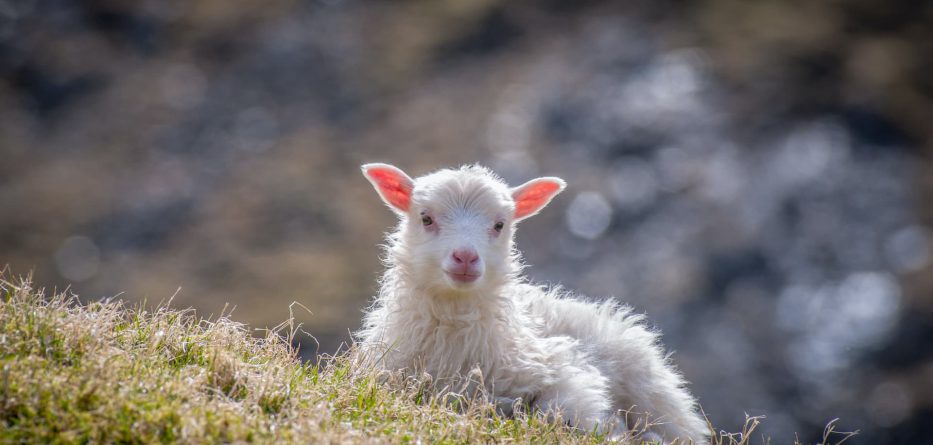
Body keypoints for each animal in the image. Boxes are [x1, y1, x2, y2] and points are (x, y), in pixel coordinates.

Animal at [356, 164, 708, 444]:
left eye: (500, 225)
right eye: (426, 218)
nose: (466, 257)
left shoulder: (565, 372)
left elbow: (559, 410)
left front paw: (612, 430)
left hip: (656, 395)